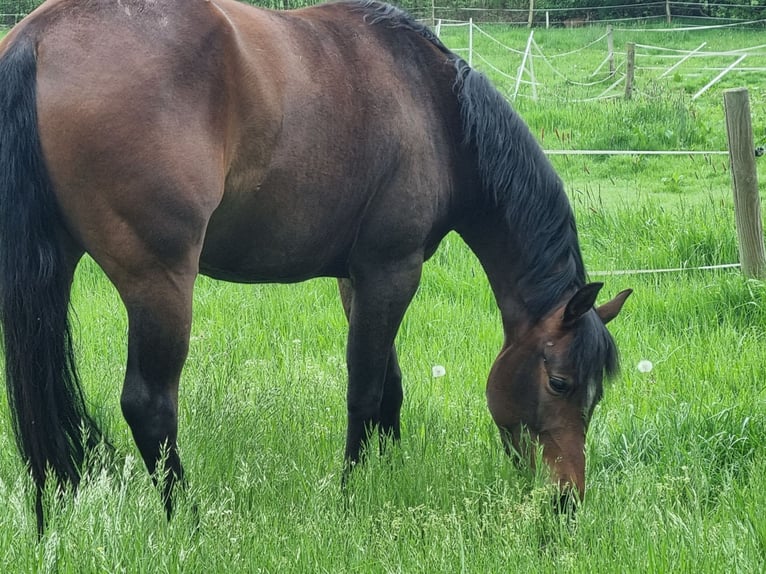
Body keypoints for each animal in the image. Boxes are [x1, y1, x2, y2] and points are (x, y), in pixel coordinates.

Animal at [0, 0, 631, 532]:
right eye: (560, 382)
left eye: (597, 395)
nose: (567, 503)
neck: (435, 106)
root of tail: (41, 35)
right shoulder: (392, 270)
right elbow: (366, 391)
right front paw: (353, 495)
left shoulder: (360, 278)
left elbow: (390, 387)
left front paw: (387, 477)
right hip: (160, 281)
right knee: (148, 404)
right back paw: (190, 522)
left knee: (37, 398)